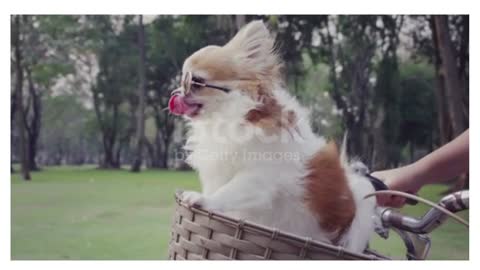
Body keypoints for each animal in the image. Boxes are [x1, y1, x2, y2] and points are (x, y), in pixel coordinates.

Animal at [167, 19, 376, 253]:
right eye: (182, 81)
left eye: (196, 82)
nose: (175, 92)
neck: (227, 118)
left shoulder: (260, 178)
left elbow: (228, 191)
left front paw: (204, 199)